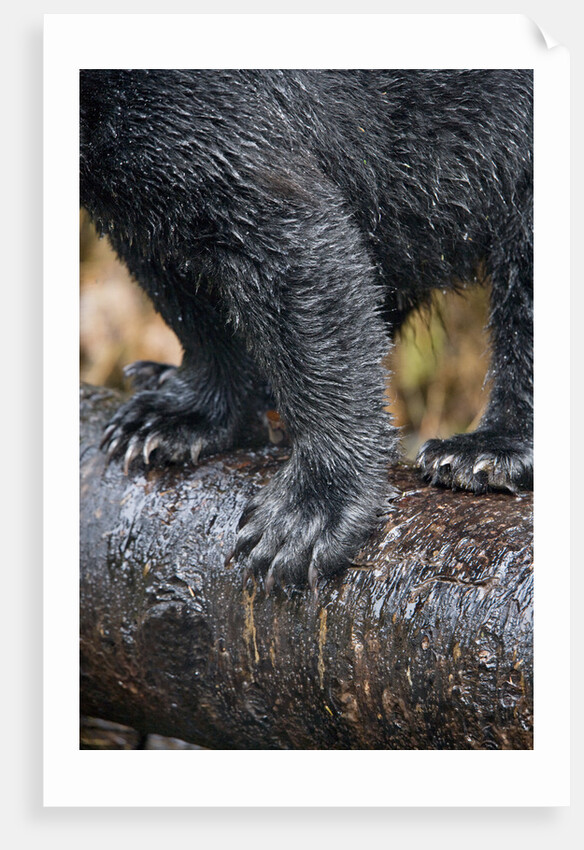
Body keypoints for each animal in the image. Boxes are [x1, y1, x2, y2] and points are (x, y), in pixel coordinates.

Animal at [80, 69, 533, 588]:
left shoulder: (198, 100)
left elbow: (290, 235)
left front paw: (306, 517)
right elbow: (173, 264)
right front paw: (171, 419)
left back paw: (484, 450)